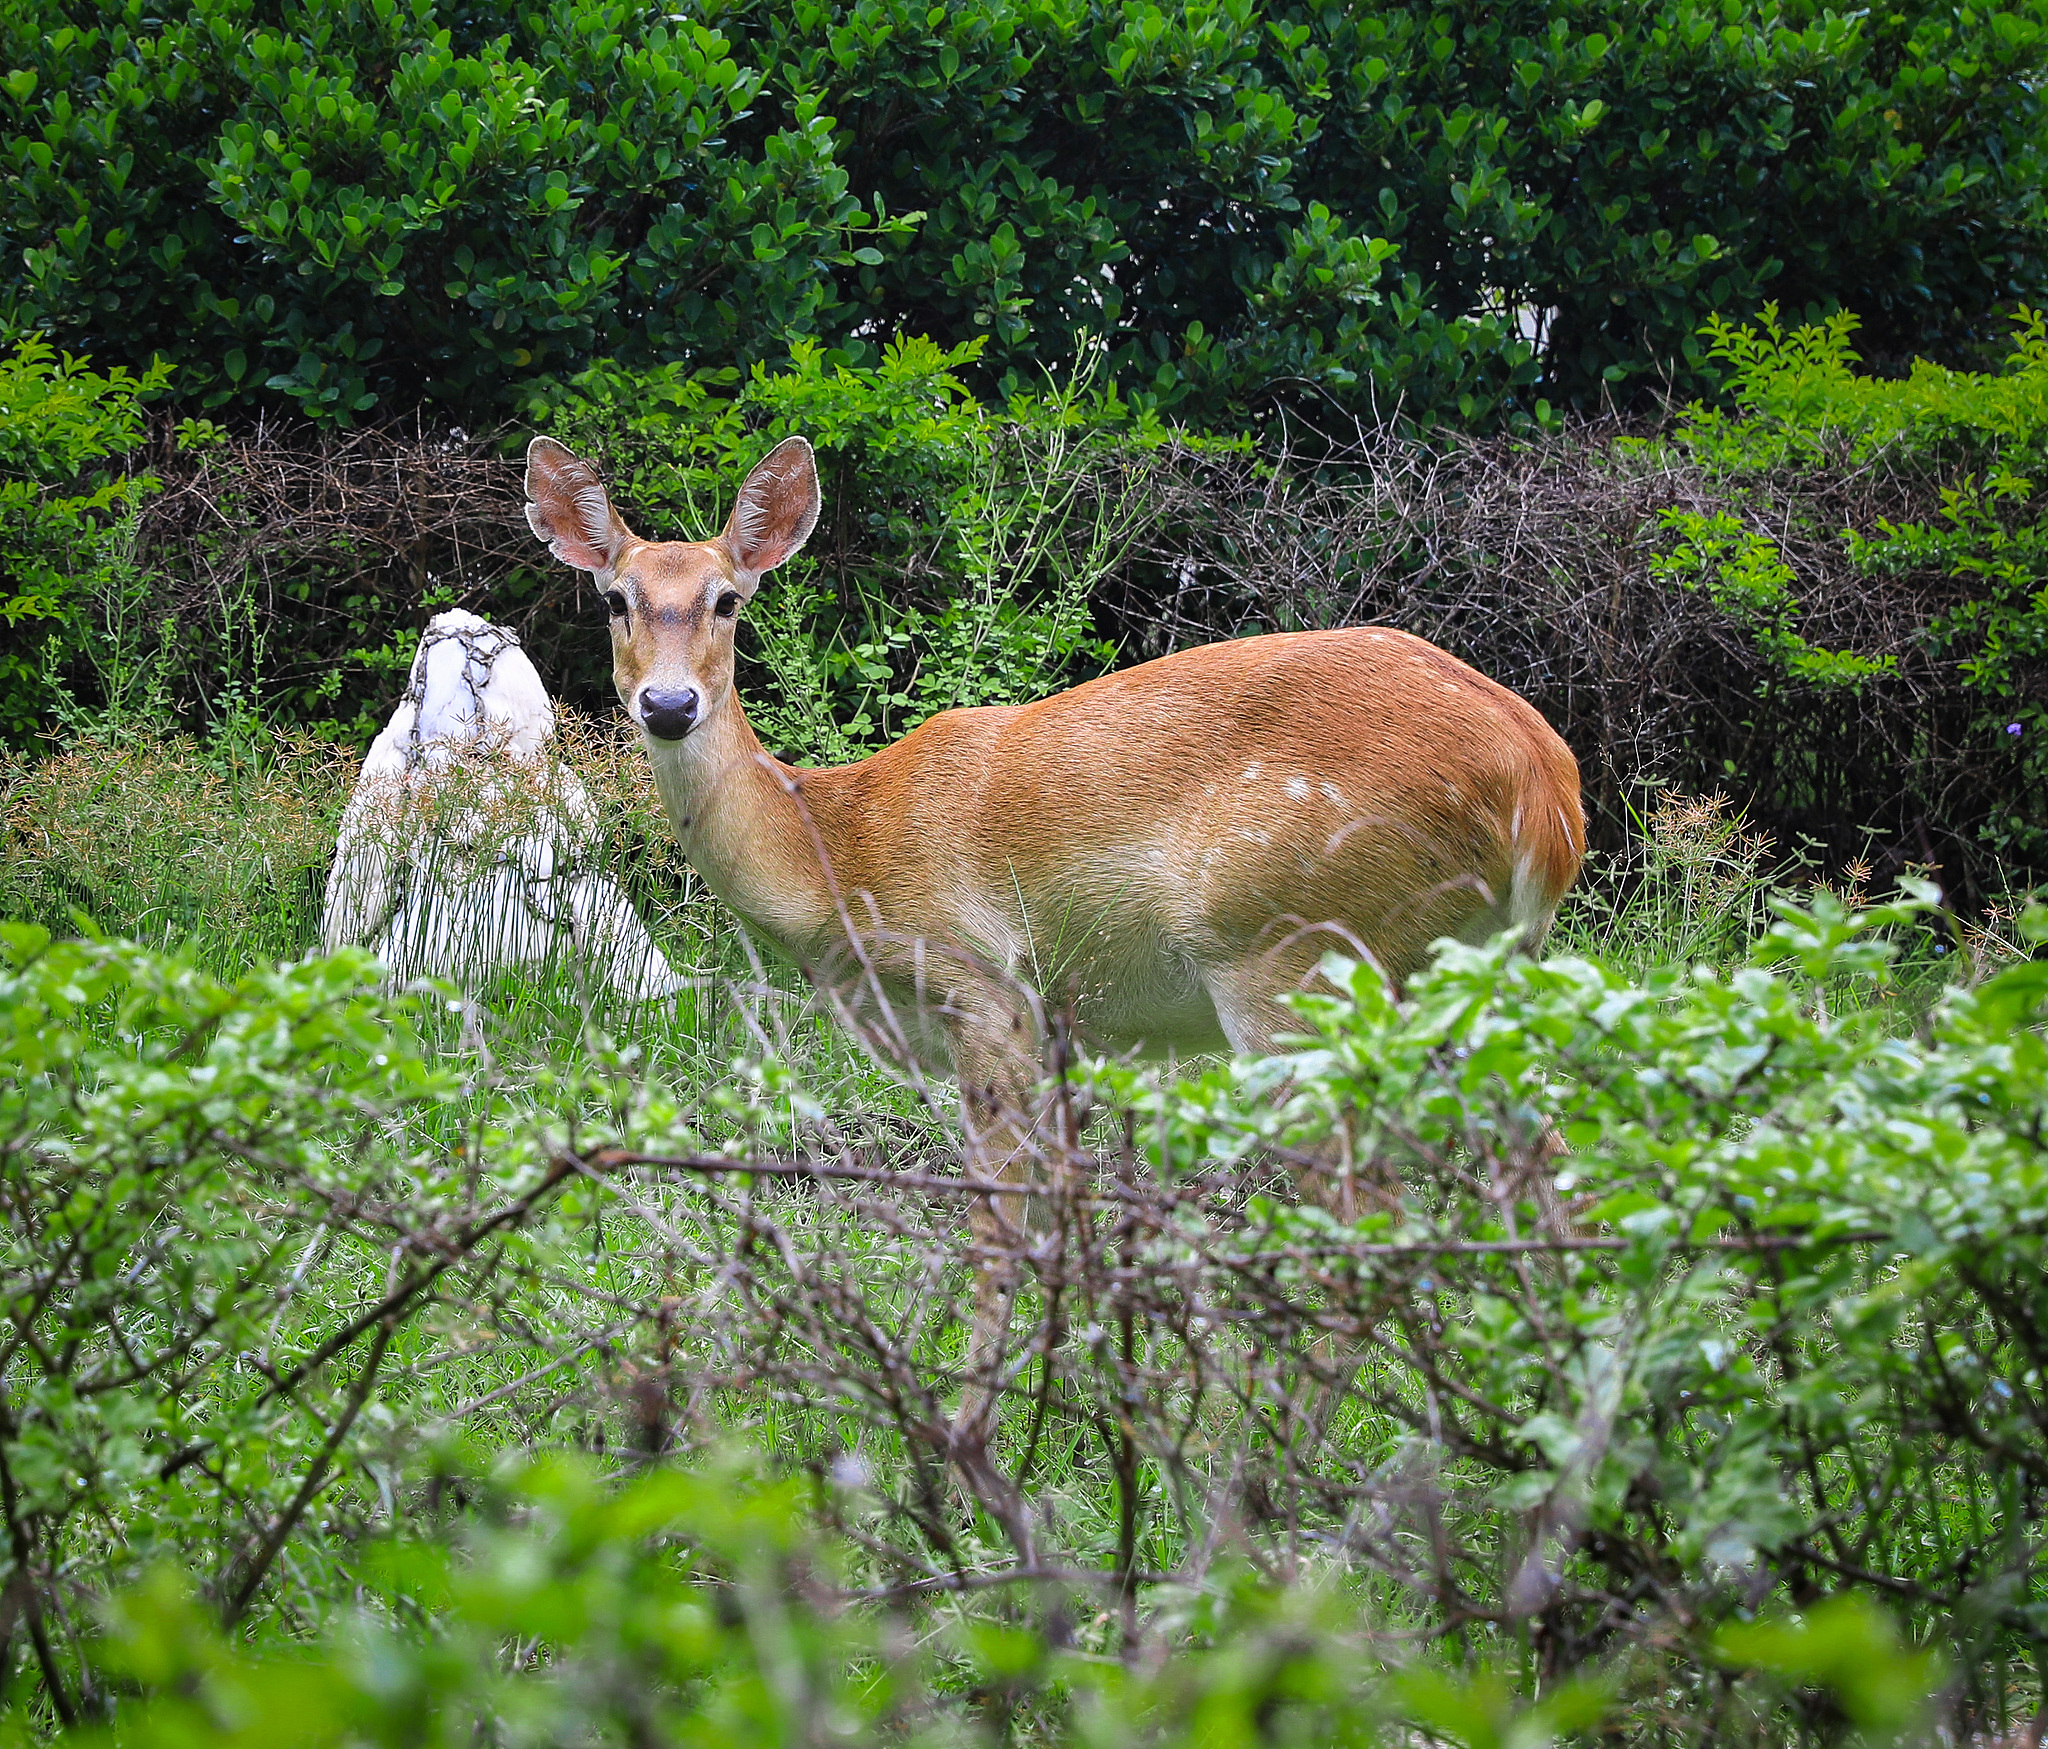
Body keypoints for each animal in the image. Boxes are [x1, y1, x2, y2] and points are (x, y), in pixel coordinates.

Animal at [523, 432, 1584, 1435]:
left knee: (1374, 1227)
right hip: (1458, 981)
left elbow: (1000, 1230)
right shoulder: (1067, 1030)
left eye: (727, 601)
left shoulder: (985, 987)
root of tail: (1548, 787)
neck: (836, 858)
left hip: (1293, 957)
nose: (668, 704)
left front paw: (974, 1438)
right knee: (1556, 1176)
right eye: (615, 598)